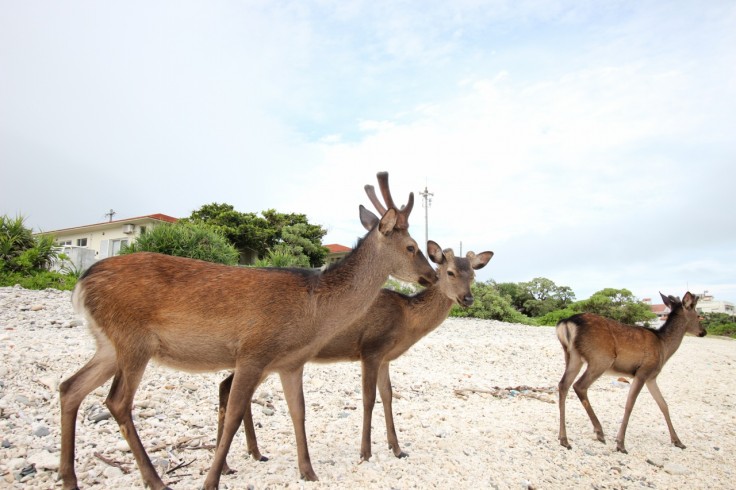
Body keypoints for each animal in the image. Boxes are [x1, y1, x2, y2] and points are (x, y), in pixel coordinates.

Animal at [60, 172, 436, 490]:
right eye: (412, 247)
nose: (431, 275)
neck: (314, 310)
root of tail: (82, 282)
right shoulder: (254, 352)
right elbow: (233, 414)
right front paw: (211, 480)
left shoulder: (290, 362)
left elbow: (298, 412)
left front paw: (308, 471)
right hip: (133, 340)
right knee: (117, 401)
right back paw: (156, 481)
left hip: (108, 345)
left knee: (70, 387)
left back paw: (70, 479)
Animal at [218, 241, 494, 470]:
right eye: (450, 272)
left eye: (473, 275)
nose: (467, 298)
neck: (406, 321)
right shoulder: (371, 349)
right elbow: (369, 398)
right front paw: (365, 453)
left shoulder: (385, 358)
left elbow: (388, 396)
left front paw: (397, 449)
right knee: (232, 388)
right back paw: (236, 460)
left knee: (227, 386)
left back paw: (253, 454)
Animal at [556, 290, 708, 456]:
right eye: (698, 315)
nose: (703, 332)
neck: (664, 347)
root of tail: (566, 323)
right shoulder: (643, 371)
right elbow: (630, 404)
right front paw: (620, 444)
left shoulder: (652, 377)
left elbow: (663, 404)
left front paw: (678, 441)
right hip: (601, 359)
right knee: (579, 386)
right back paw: (599, 432)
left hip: (573, 356)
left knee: (563, 385)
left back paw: (564, 439)